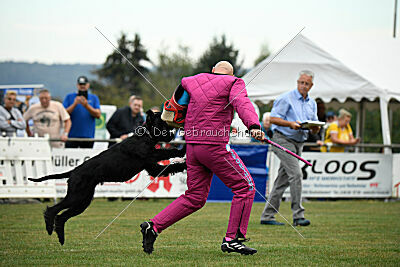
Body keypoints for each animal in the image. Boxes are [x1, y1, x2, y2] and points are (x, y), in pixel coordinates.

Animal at [28, 111, 187, 247]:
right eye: (163, 124)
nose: (172, 136)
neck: (144, 136)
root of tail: (73, 172)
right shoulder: (151, 155)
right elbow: (168, 152)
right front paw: (183, 153)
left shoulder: (153, 167)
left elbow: (172, 167)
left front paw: (184, 162)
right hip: (75, 196)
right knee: (53, 210)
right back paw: (49, 227)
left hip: (82, 201)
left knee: (62, 217)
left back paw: (61, 238)